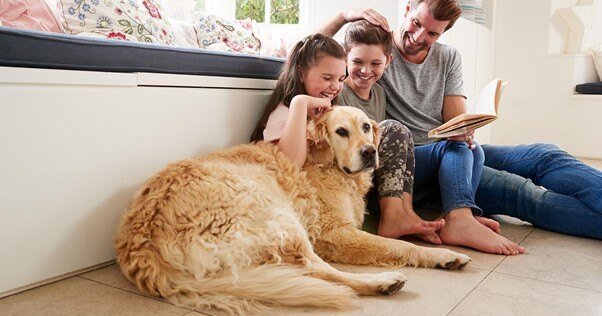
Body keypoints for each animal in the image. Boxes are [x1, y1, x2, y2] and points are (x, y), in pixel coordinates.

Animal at [112, 106, 468, 314]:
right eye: (341, 132)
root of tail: (143, 249)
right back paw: (382, 282)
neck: (327, 165)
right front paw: (442, 255)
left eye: (366, 127)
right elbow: (399, 244)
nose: (369, 152)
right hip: (276, 214)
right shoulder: (333, 233)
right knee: (316, 270)